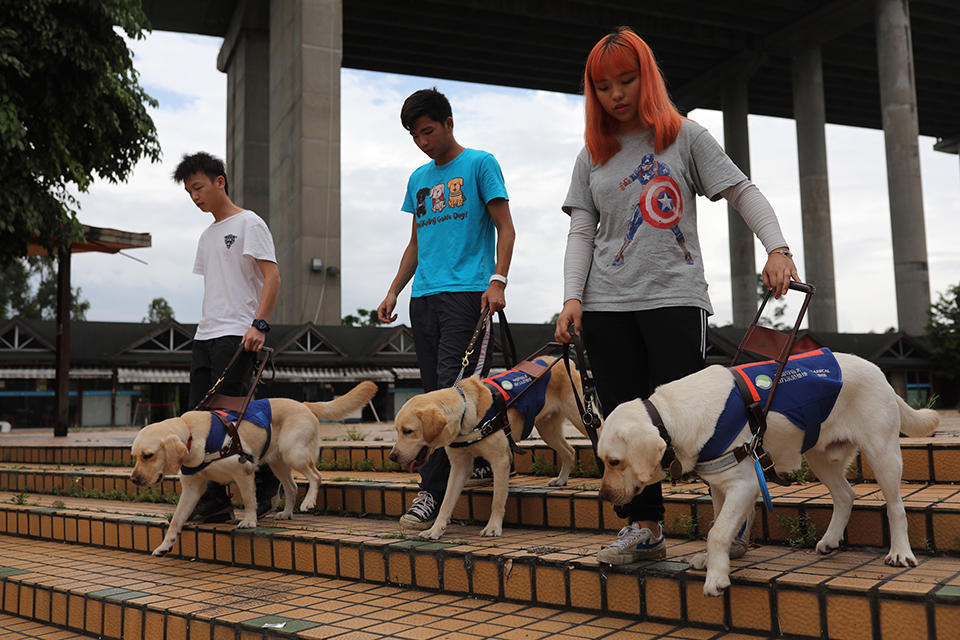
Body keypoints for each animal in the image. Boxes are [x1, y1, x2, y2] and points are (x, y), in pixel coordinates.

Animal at [130, 380, 376, 556]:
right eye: (134, 457)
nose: (134, 479)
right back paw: (286, 513)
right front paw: (165, 545)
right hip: (277, 462)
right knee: (292, 486)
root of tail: (303, 403)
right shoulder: (192, 487)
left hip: (293, 452)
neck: (192, 434)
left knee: (315, 476)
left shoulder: (244, 470)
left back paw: (308, 502)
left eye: (148, 455)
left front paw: (249, 521)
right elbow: (177, 519)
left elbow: (249, 499)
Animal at [390, 356, 592, 540]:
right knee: (570, 451)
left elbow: (497, 499)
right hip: (547, 429)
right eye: (397, 430)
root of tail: (562, 360)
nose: (392, 457)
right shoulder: (460, 465)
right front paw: (435, 530)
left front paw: (493, 527)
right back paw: (561, 479)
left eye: (408, 431)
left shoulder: (500, 460)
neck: (465, 415)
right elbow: (447, 502)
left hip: (582, 416)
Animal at [596, 350, 940, 596]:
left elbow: (718, 532)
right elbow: (718, 525)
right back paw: (830, 540)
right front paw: (714, 562)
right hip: (819, 455)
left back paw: (900, 552)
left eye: (614, 461)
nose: (604, 496)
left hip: (883, 453)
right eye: (603, 461)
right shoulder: (720, 484)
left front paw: (716, 578)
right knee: (846, 494)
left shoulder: (744, 484)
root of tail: (880, 373)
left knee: (895, 506)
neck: (671, 416)